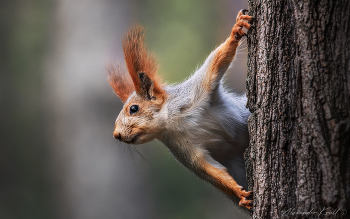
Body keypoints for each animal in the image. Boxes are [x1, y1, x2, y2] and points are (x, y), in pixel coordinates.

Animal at [108, 9, 253, 210]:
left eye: (134, 109)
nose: (116, 135)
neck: (173, 121)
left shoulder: (198, 89)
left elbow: (215, 62)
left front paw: (236, 30)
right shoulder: (185, 150)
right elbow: (212, 171)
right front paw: (239, 193)